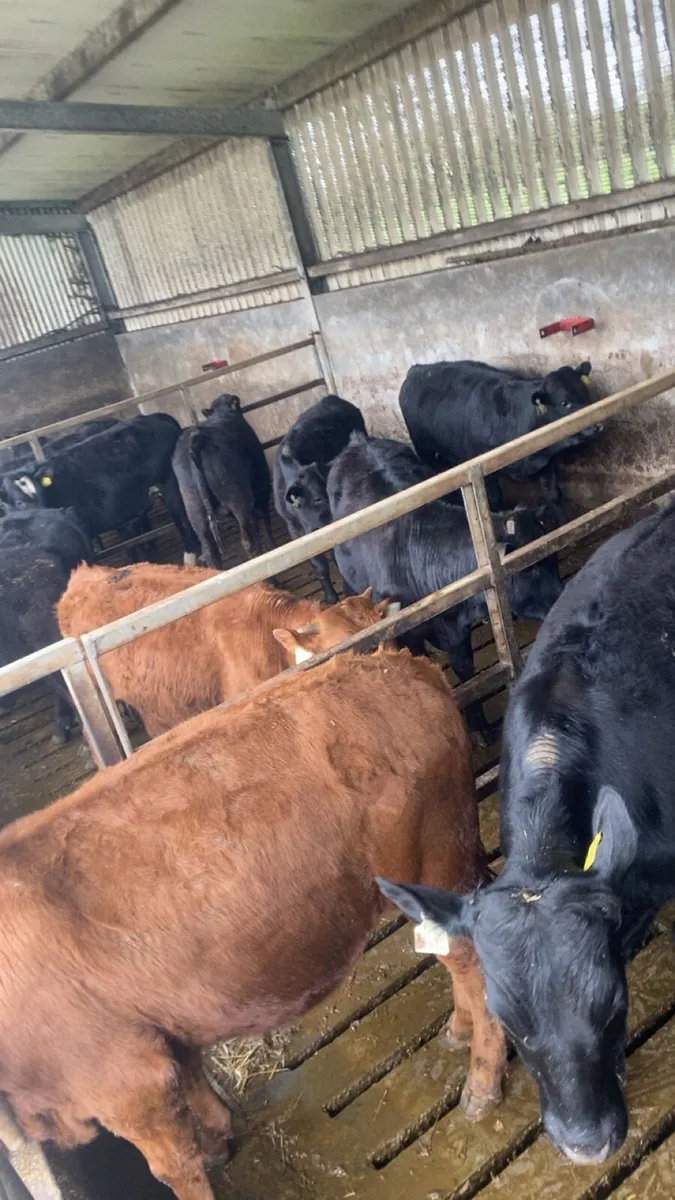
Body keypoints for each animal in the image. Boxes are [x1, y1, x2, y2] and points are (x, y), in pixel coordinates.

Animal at [0, 648, 507, 1198]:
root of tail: (400, 664)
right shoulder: (165, 1030)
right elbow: (195, 1080)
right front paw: (220, 1138)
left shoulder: (126, 1083)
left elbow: (172, 1166)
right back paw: (458, 1031)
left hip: (435, 872)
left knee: (472, 966)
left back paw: (483, 1085)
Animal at [173, 395, 272, 567]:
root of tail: (197, 438)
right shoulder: (261, 479)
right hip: (238, 500)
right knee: (248, 540)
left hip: (196, 513)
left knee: (210, 552)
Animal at [399, 359, 598, 509]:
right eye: (564, 402)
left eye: (585, 392)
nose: (596, 425)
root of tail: (417, 369)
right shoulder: (483, 471)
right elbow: (494, 499)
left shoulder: (546, 460)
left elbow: (554, 495)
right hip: (424, 449)